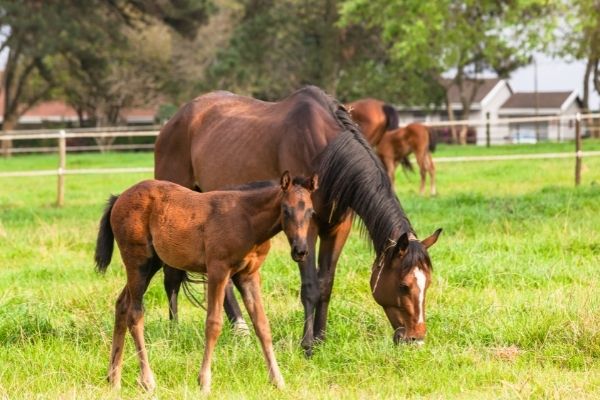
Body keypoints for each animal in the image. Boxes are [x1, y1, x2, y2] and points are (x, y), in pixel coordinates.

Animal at [94, 170, 318, 392]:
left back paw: (114, 380)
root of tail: (119, 198)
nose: (300, 251)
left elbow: (262, 325)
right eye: (285, 210)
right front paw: (204, 381)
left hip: (152, 264)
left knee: (122, 305)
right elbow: (213, 324)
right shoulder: (218, 270)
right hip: (138, 262)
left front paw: (278, 380)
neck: (246, 219)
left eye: (311, 212)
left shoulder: (249, 275)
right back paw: (147, 381)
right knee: (135, 313)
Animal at [155, 86, 440, 354]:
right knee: (171, 275)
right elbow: (310, 286)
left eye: (427, 284)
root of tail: (174, 121)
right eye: (404, 286)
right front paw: (308, 345)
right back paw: (175, 330)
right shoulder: (307, 229)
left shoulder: (337, 228)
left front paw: (322, 339)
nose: (416, 340)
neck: (326, 153)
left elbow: (325, 284)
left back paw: (240, 330)